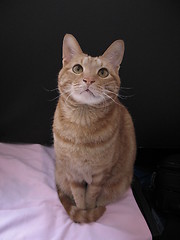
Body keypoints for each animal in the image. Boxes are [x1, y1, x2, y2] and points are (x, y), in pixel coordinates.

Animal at [52, 33, 136, 223]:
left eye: (103, 72)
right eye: (77, 69)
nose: (89, 80)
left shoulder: (100, 175)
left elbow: (91, 196)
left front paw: (89, 212)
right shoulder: (73, 173)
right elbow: (79, 197)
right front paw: (82, 213)